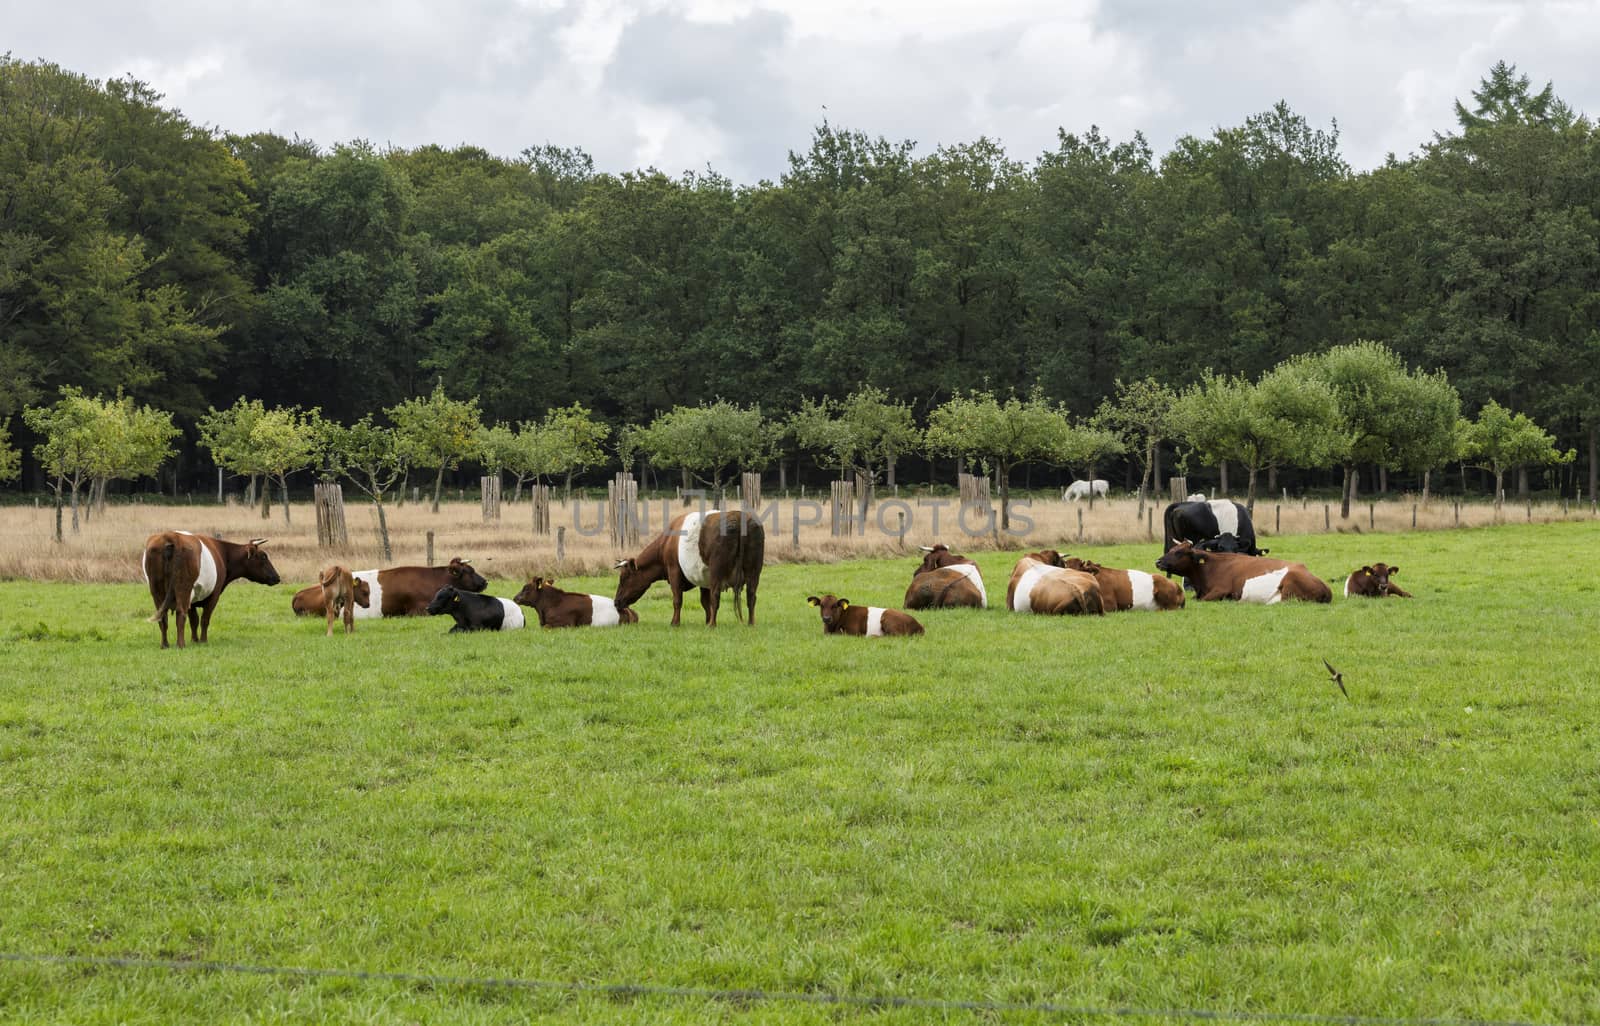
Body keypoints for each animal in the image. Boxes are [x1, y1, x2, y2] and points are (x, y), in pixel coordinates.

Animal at [142, 528, 280, 646]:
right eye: (263, 557)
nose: (277, 577)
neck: (223, 553)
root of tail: (170, 536)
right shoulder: (214, 594)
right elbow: (204, 619)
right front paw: (203, 641)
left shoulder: (193, 598)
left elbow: (194, 620)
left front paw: (195, 640)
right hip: (183, 587)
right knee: (181, 612)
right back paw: (180, 644)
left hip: (156, 589)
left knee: (162, 616)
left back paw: (165, 644)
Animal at [611, 505, 761, 624]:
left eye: (624, 578)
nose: (616, 602)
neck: (666, 543)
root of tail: (738, 516)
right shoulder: (703, 578)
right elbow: (704, 602)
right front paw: (706, 620)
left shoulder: (674, 571)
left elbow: (678, 599)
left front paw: (675, 623)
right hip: (753, 570)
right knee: (751, 595)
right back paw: (751, 623)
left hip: (716, 571)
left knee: (716, 596)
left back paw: (713, 625)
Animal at [1158, 541, 1331, 605]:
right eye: (1171, 549)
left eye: (1179, 552)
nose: (1158, 562)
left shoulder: (1221, 590)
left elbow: (1202, 600)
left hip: (1289, 584)